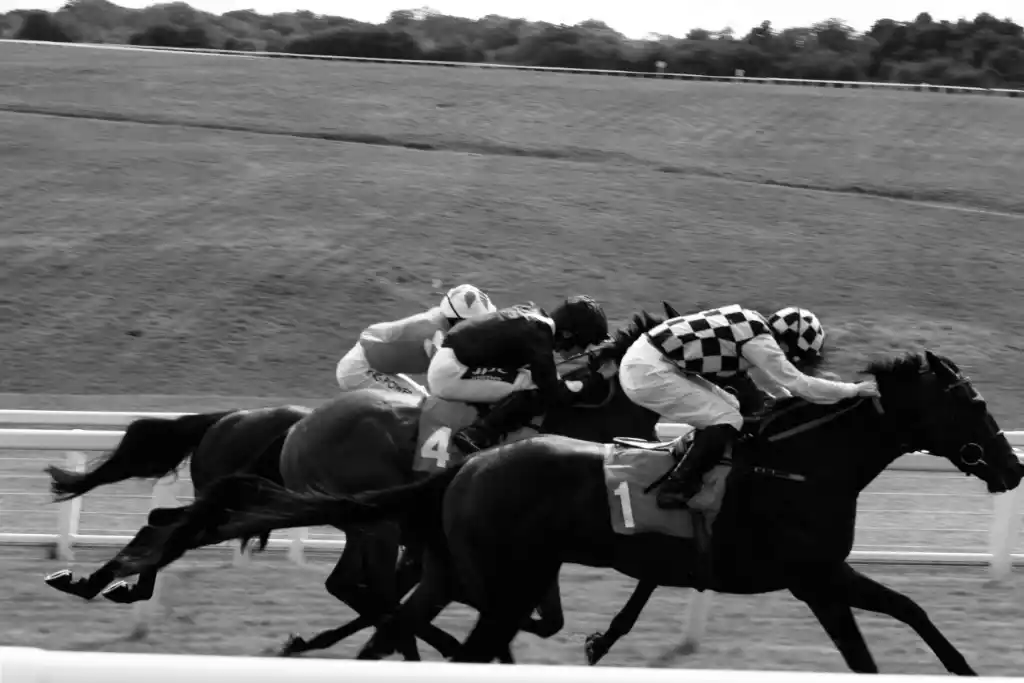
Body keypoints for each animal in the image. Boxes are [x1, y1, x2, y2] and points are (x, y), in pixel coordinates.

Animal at [123, 350, 1019, 671]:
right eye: (971, 404)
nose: (1012, 465)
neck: (799, 465)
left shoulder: (819, 576)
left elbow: (897, 621)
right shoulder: (812, 574)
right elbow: (889, 622)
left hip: (451, 554)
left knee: (398, 608)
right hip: (444, 551)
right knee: (397, 604)